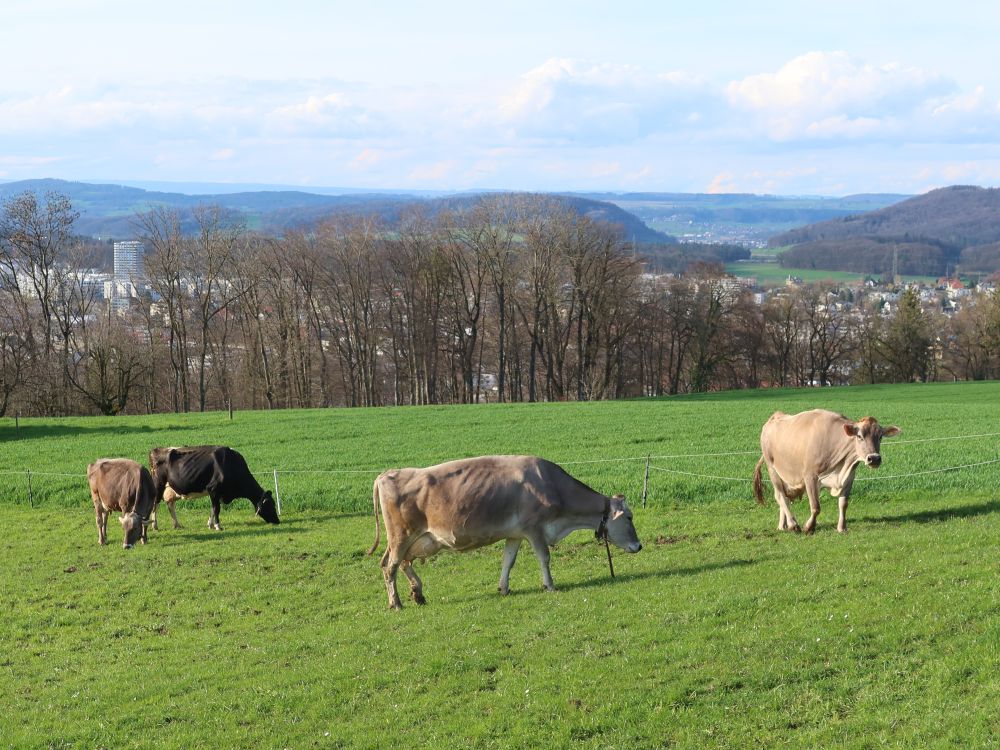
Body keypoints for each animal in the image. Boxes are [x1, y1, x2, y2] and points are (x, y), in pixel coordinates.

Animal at [146, 446, 278, 536]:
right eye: (271, 505)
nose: (277, 521)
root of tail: (156, 449)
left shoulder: (217, 493)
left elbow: (213, 509)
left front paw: (210, 524)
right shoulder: (213, 489)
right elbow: (216, 508)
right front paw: (218, 526)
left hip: (170, 491)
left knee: (170, 505)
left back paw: (177, 525)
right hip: (158, 485)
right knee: (155, 505)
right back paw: (155, 526)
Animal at [368, 458, 640, 612]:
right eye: (629, 517)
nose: (639, 545)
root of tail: (386, 474)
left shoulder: (515, 534)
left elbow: (508, 561)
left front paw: (504, 588)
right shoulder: (534, 528)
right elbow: (544, 558)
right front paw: (550, 585)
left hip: (412, 540)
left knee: (399, 563)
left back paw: (418, 593)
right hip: (401, 537)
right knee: (390, 567)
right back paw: (396, 603)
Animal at [752, 412, 904, 536]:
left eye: (880, 436)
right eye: (859, 436)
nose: (874, 458)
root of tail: (774, 417)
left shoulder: (849, 477)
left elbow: (843, 503)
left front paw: (842, 528)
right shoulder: (810, 476)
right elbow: (816, 506)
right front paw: (809, 527)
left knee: (784, 498)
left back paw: (782, 525)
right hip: (772, 469)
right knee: (781, 497)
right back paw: (793, 524)